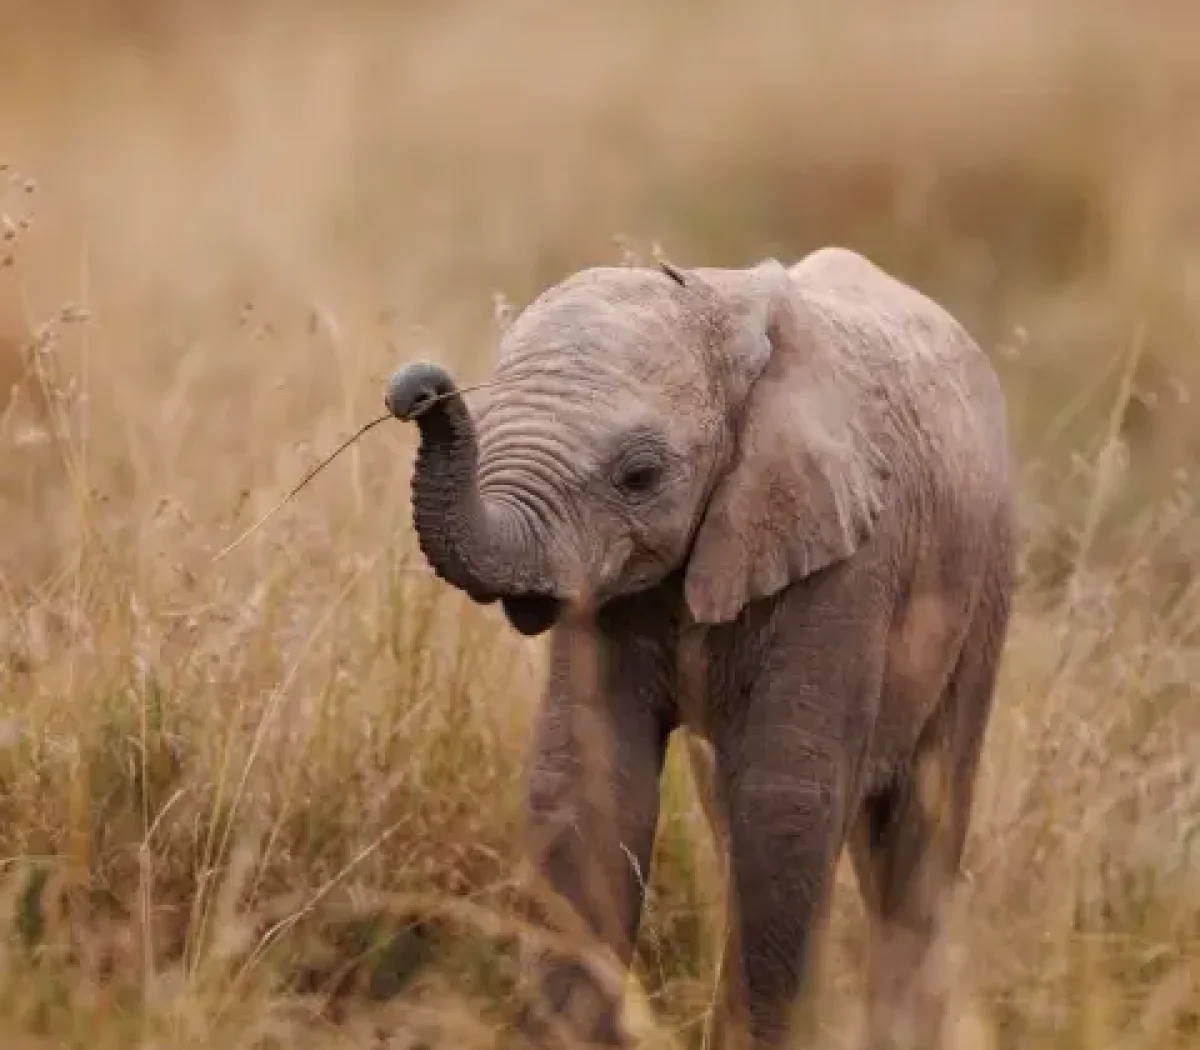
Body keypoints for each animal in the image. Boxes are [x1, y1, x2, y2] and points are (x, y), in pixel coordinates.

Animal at [384, 247, 1016, 1049]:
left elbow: (784, 804)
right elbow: (590, 785)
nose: (416, 391)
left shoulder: (849, 563)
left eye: (640, 476)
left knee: (920, 829)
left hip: (986, 581)